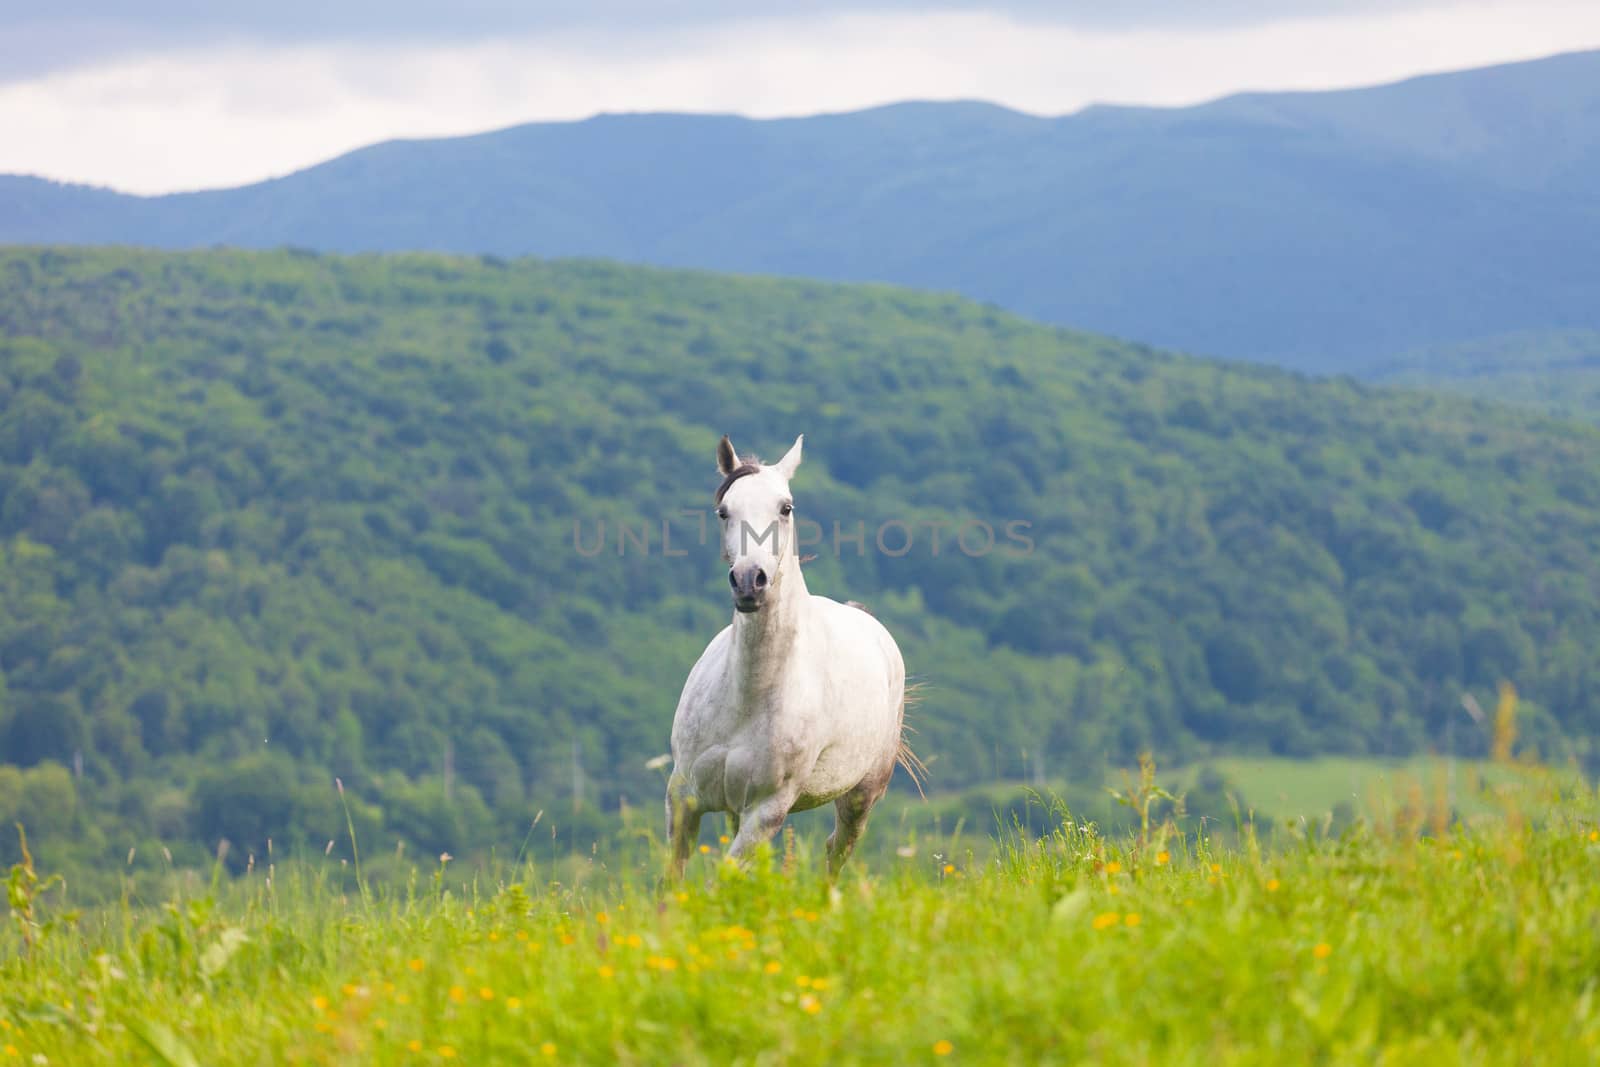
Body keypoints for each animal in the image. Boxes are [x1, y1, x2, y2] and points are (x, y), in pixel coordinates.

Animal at [662, 435, 921, 876]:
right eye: (723, 511)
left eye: (785, 508)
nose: (749, 582)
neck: (747, 698)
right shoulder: (684, 797)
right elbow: (672, 879)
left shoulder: (766, 812)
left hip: (860, 797)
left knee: (837, 851)